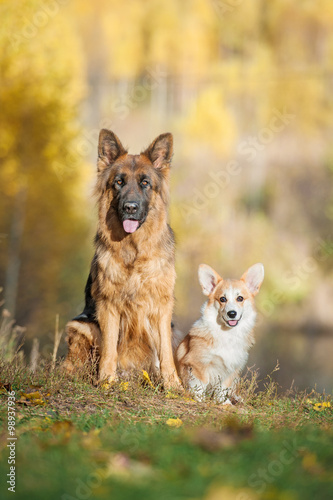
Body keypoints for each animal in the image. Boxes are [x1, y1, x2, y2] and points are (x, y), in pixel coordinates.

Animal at [63, 128, 180, 386]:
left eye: (145, 183)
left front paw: (172, 383)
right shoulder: (108, 305)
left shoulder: (162, 306)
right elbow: (109, 348)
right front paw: (107, 380)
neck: (134, 251)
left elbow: (166, 351)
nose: (130, 207)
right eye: (119, 182)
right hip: (81, 325)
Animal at [175, 262, 264, 402]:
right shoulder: (198, 364)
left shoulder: (231, 369)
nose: (232, 313)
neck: (227, 333)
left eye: (240, 298)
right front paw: (200, 400)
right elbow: (200, 385)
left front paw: (223, 403)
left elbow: (223, 389)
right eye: (222, 299)